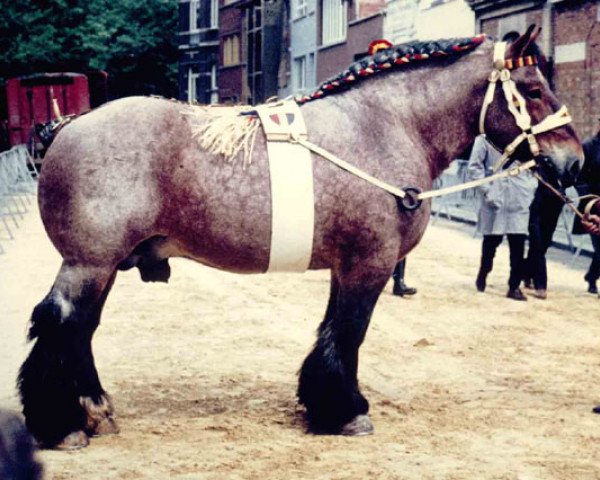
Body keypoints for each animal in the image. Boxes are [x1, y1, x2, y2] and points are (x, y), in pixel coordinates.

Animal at [17, 26, 580, 448]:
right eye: (532, 89)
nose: (573, 162)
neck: (383, 125)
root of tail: (67, 126)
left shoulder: (346, 265)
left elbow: (333, 331)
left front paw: (324, 404)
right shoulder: (370, 264)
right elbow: (349, 333)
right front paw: (346, 412)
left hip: (104, 267)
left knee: (80, 331)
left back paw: (94, 411)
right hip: (87, 264)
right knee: (59, 324)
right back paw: (62, 426)